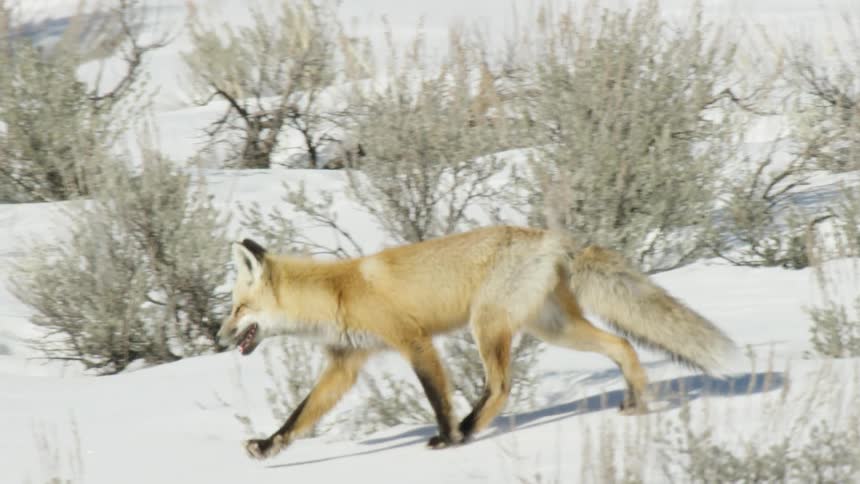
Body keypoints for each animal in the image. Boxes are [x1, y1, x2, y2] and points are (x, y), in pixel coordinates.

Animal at [217, 225, 735, 459]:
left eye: (237, 309)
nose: (219, 337)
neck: (337, 293)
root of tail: (552, 238)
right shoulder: (346, 363)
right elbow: (299, 415)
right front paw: (267, 445)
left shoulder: (414, 340)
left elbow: (437, 398)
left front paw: (447, 437)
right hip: (553, 328)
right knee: (622, 347)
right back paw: (635, 402)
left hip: (486, 326)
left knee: (501, 387)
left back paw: (466, 430)